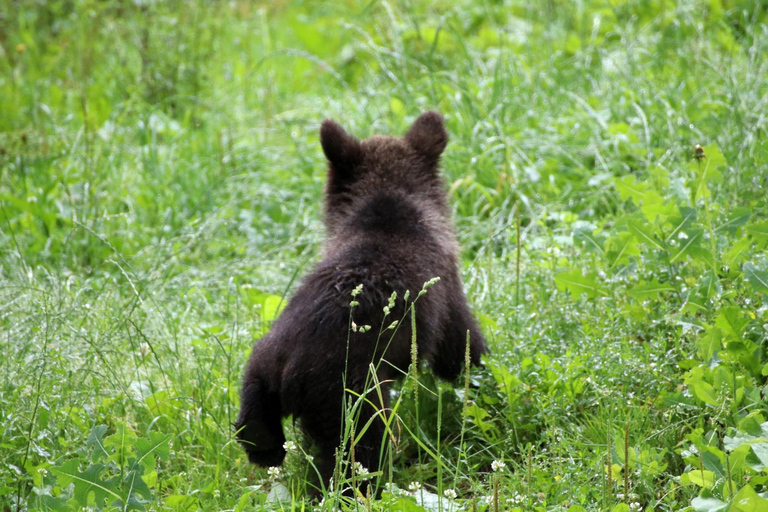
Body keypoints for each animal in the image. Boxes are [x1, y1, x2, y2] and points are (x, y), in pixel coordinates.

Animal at [235, 111, 487, 496]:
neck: (387, 203)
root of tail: (288, 370)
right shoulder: (448, 296)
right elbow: (463, 347)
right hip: (354, 403)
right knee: (351, 465)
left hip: (258, 378)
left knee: (260, 437)